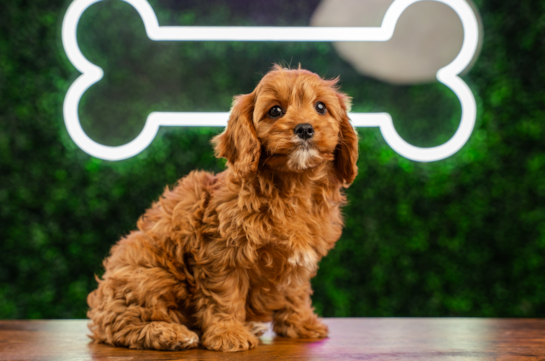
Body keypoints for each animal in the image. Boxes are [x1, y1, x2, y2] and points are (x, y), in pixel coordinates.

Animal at [87, 64, 360, 352]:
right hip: (148, 276)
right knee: (121, 323)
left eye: (320, 107)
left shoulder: (298, 260)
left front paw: (301, 324)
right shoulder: (222, 256)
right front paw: (229, 334)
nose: (305, 129)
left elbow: (296, 292)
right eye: (275, 111)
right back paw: (171, 334)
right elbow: (225, 297)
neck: (293, 185)